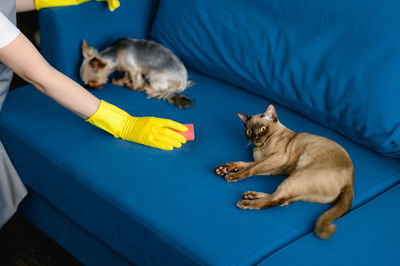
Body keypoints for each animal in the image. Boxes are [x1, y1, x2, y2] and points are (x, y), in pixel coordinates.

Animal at [216, 104, 354, 239]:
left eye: (263, 129)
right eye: (249, 131)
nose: (255, 138)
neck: (260, 147)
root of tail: (350, 182)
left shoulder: (275, 159)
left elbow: (250, 169)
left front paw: (231, 176)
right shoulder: (271, 167)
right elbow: (246, 165)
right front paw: (224, 169)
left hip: (298, 175)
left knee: (276, 199)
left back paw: (245, 202)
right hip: (296, 183)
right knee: (283, 200)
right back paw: (250, 195)